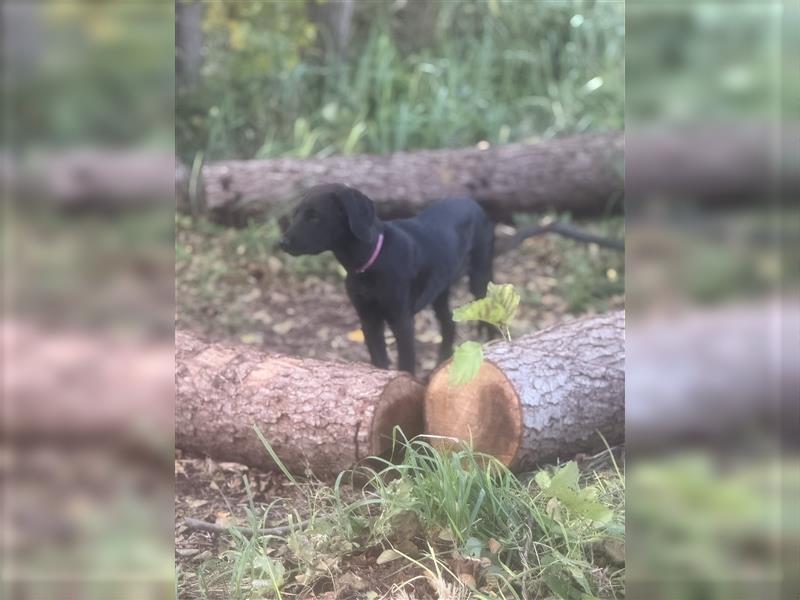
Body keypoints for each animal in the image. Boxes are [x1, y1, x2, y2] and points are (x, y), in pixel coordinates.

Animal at [280, 183, 494, 376]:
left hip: (480, 277)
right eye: (296, 213)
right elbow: (379, 361)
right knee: (449, 323)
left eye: (314, 216)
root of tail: (473, 203)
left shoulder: (402, 321)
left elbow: (405, 364)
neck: (370, 261)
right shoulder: (368, 319)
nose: (282, 243)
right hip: (440, 291)